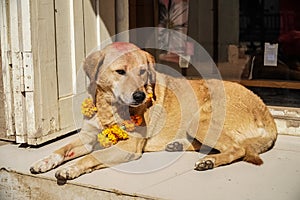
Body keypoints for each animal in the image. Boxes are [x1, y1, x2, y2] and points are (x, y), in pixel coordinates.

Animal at [29, 42, 278, 181]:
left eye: (142, 71)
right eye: (120, 72)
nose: (140, 96)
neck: (109, 106)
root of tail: (267, 113)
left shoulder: (128, 147)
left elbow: (91, 157)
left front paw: (71, 169)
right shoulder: (88, 137)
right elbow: (62, 149)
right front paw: (44, 161)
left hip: (199, 120)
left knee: (237, 149)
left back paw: (209, 162)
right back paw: (179, 146)